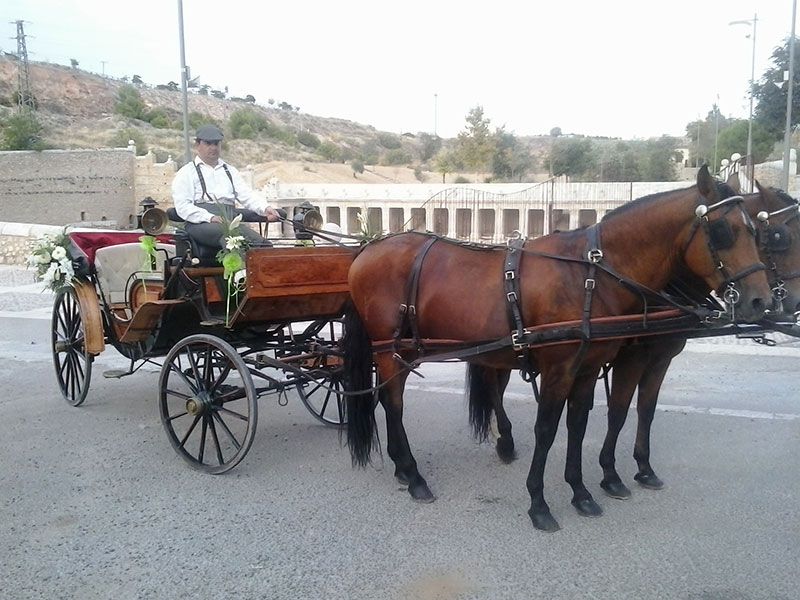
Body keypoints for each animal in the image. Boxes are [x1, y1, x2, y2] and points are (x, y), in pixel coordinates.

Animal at [342, 166, 768, 532]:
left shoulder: (588, 370)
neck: (589, 274)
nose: (762, 301)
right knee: (393, 404)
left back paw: (404, 467)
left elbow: (578, 426)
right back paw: (415, 475)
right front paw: (539, 504)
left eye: (756, 230)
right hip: (389, 350)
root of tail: (367, 250)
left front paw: (581, 492)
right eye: (723, 229)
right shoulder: (560, 370)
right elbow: (547, 430)